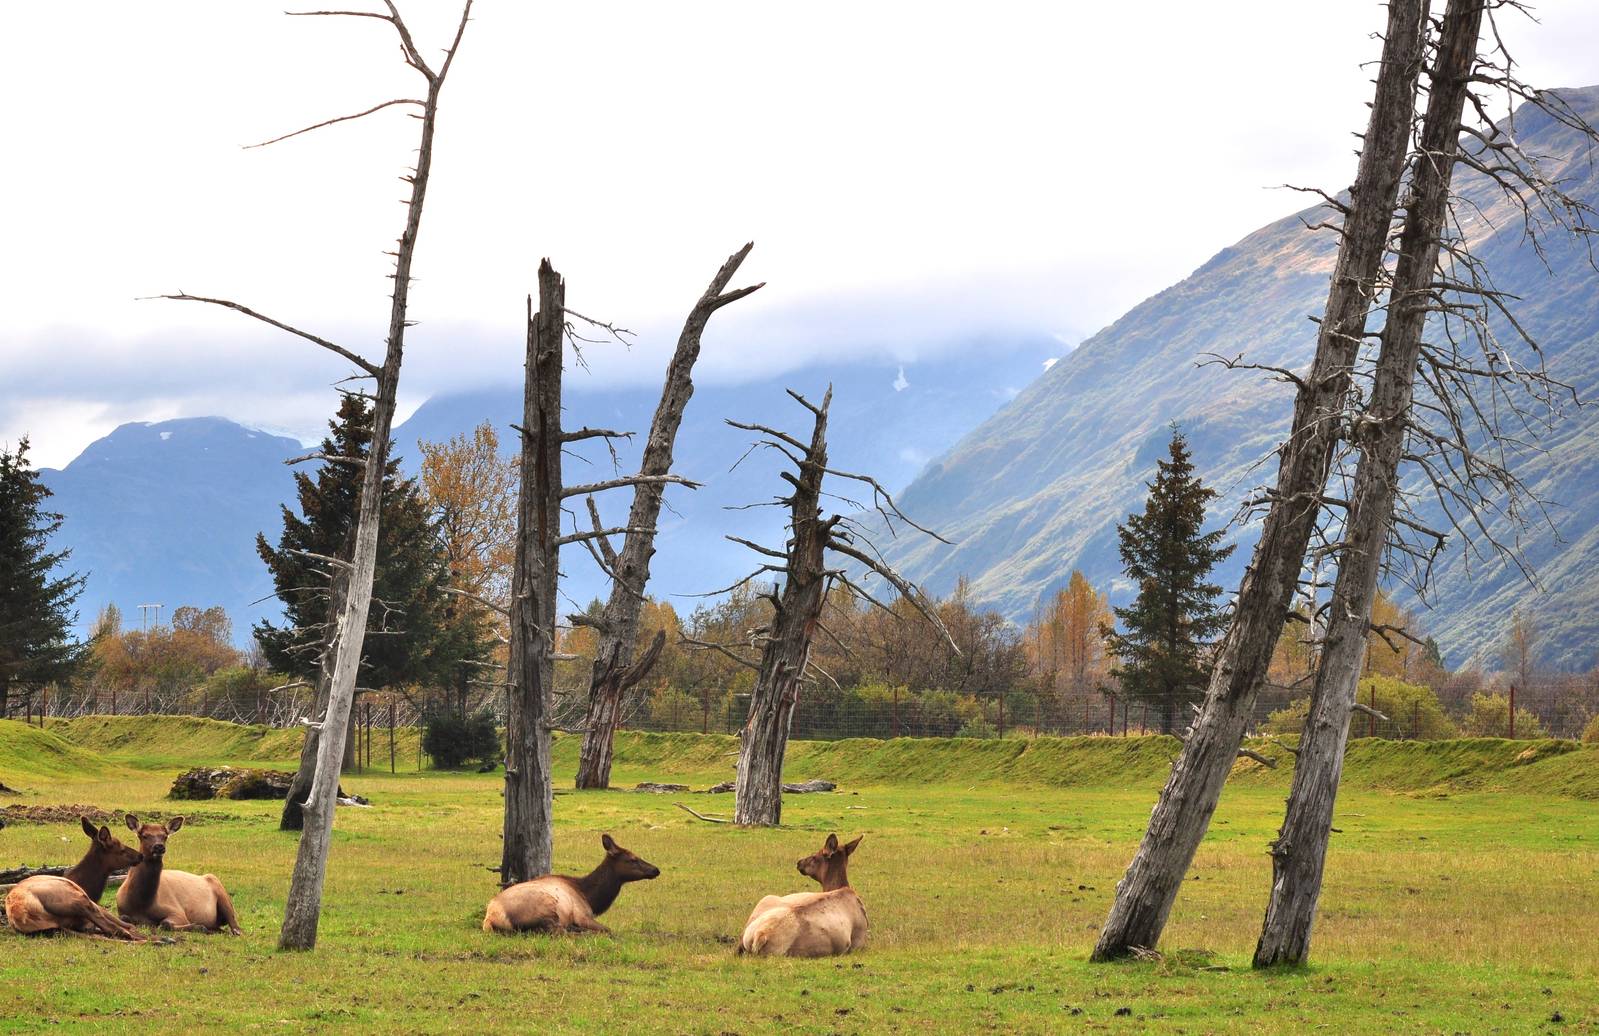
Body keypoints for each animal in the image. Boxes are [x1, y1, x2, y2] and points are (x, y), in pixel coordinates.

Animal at [3, 816, 145, 941]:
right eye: (121, 849)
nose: (140, 855)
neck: (87, 886)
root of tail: (22, 915)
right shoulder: (91, 901)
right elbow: (123, 923)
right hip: (76, 899)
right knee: (116, 929)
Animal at [483, 834, 660, 935]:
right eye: (633, 859)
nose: (656, 869)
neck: (590, 898)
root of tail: (490, 919)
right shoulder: (582, 914)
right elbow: (608, 929)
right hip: (545, 907)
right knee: (556, 931)